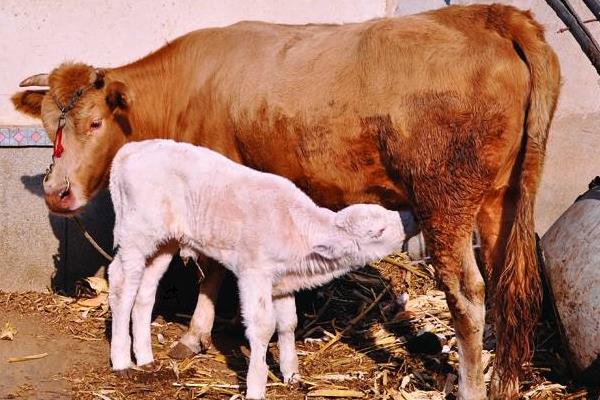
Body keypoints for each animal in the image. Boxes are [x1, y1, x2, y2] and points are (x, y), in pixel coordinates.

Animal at [109, 139, 406, 398]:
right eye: (378, 231)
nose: (405, 223)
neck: (297, 229)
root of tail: (129, 150)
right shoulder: (253, 274)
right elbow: (263, 327)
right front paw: (256, 387)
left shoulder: (282, 281)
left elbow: (288, 323)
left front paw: (291, 375)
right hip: (135, 235)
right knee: (121, 284)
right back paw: (122, 360)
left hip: (164, 242)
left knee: (144, 290)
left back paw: (145, 358)